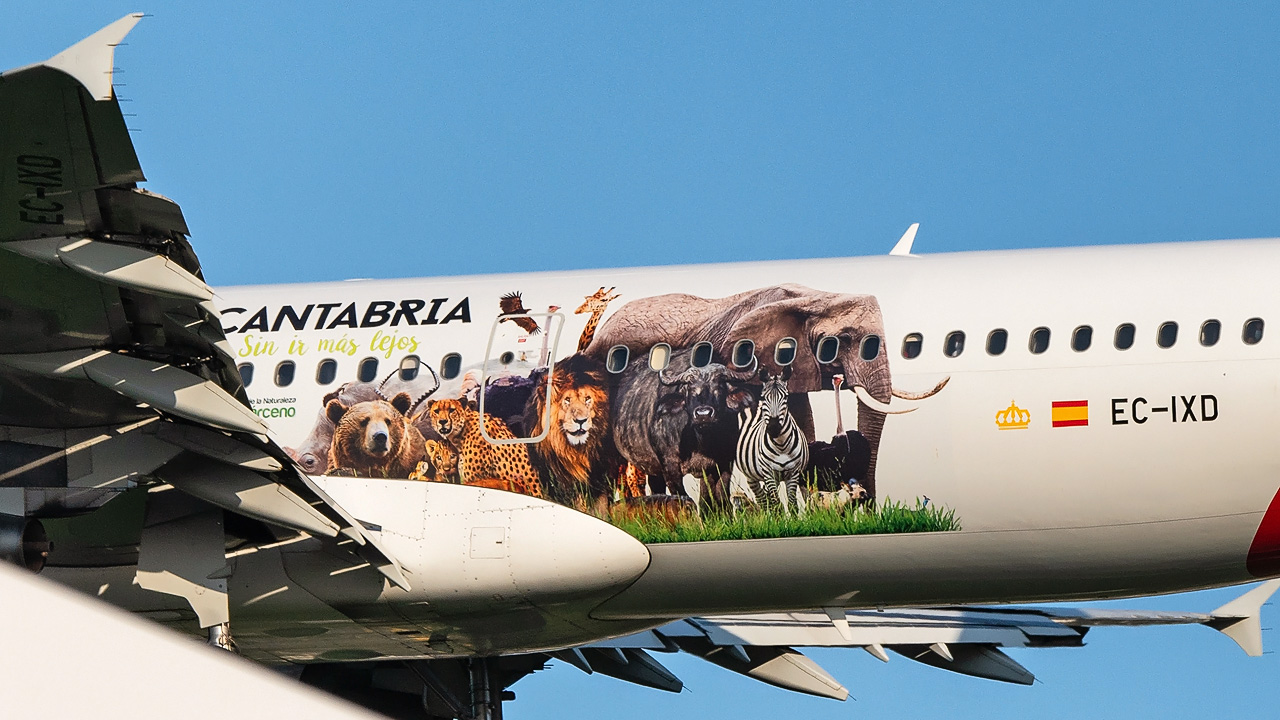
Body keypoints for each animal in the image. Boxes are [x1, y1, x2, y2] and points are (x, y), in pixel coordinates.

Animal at [737, 366, 803, 512]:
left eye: (786, 397)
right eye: (763, 397)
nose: (773, 428)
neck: (781, 445)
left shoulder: (793, 472)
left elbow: (792, 504)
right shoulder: (768, 471)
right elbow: (776, 503)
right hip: (751, 476)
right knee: (762, 499)